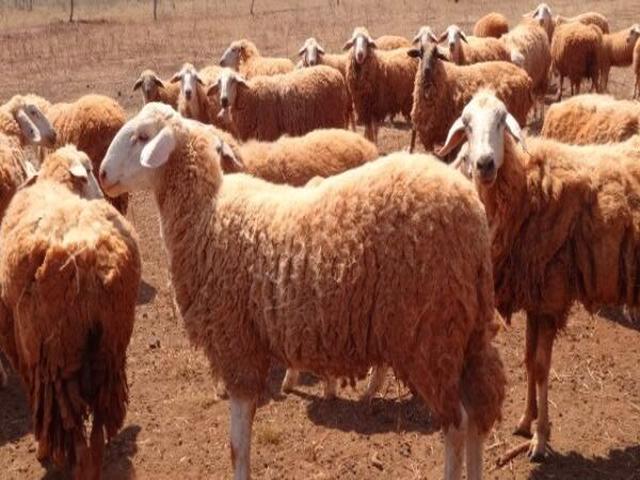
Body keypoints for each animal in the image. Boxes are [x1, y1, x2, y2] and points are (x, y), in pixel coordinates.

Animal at [0, 144, 141, 479]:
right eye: (90, 171)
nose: (103, 194)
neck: (56, 183)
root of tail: (89, 257)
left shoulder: (17, 340)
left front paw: (42, 450)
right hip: (111, 342)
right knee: (99, 422)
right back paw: (94, 464)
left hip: (56, 352)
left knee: (69, 423)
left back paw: (68, 461)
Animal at [100, 102, 506, 480]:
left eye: (142, 137)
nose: (102, 175)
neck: (207, 215)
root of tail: (471, 209)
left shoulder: (237, 345)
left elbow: (237, 445)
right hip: (465, 329)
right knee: (478, 415)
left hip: (431, 333)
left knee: (456, 423)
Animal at [207, 66, 350, 142]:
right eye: (219, 82)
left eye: (233, 81)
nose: (224, 100)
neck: (249, 96)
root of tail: (337, 74)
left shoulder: (267, 133)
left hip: (336, 119)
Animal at [438, 89, 640, 462]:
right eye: (467, 124)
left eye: (502, 121)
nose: (485, 164)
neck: (527, 190)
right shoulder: (535, 297)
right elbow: (529, 360)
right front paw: (525, 419)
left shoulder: (550, 296)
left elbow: (544, 368)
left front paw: (540, 437)